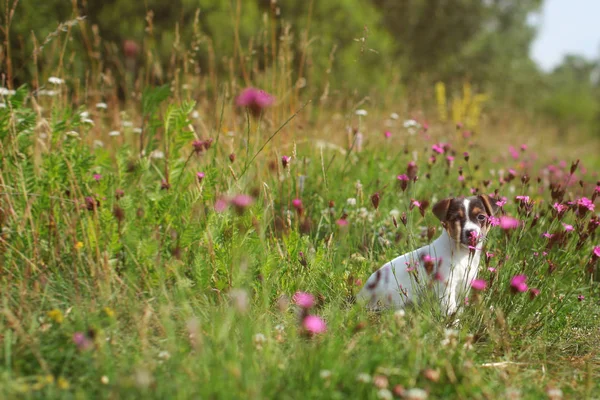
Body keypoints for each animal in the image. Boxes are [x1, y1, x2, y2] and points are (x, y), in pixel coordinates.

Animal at [358, 195, 500, 316]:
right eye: (456, 218)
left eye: (481, 217)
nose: (471, 233)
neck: (461, 254)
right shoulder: (446, 287)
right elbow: (450, 309)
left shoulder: (464, 285)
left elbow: (458, 309)